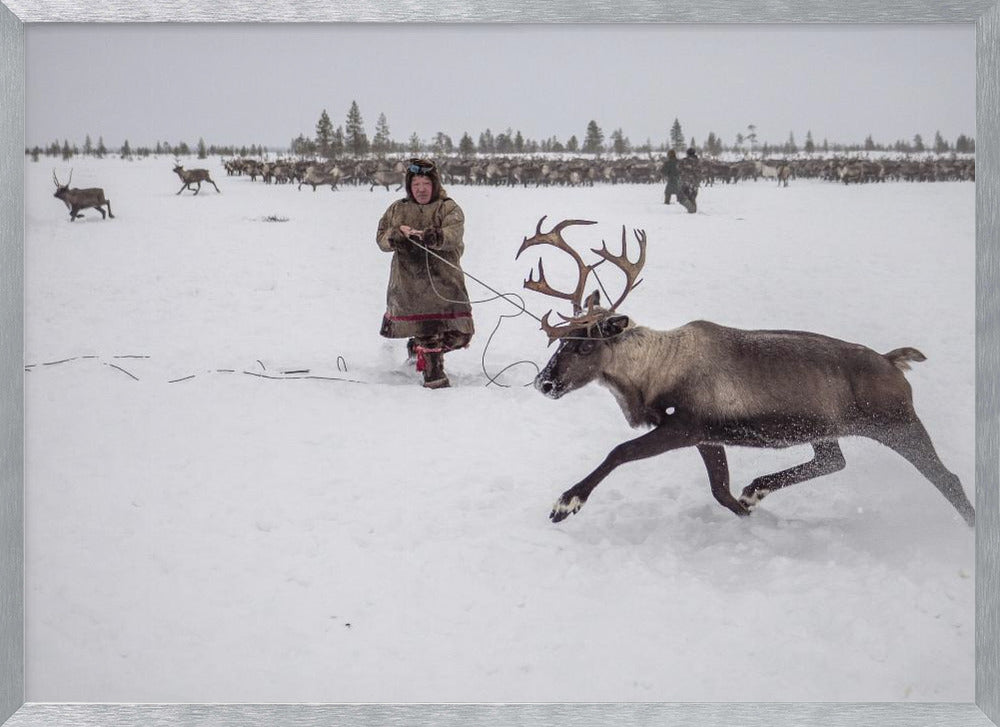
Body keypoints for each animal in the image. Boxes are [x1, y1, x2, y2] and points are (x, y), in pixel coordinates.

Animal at [516, 217, 975, 528]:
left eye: (584, 344)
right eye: (560, 340)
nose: (544, 382)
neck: (653, 372)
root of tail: (892, 360)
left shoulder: (684, 426)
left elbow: (620, 451)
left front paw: (566, 502)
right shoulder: (707, 436)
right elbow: (720, 490)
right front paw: (747, 510)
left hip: (898, 423)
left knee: (948, 478)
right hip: (826, 428)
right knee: (834, 460)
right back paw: (757, 489)